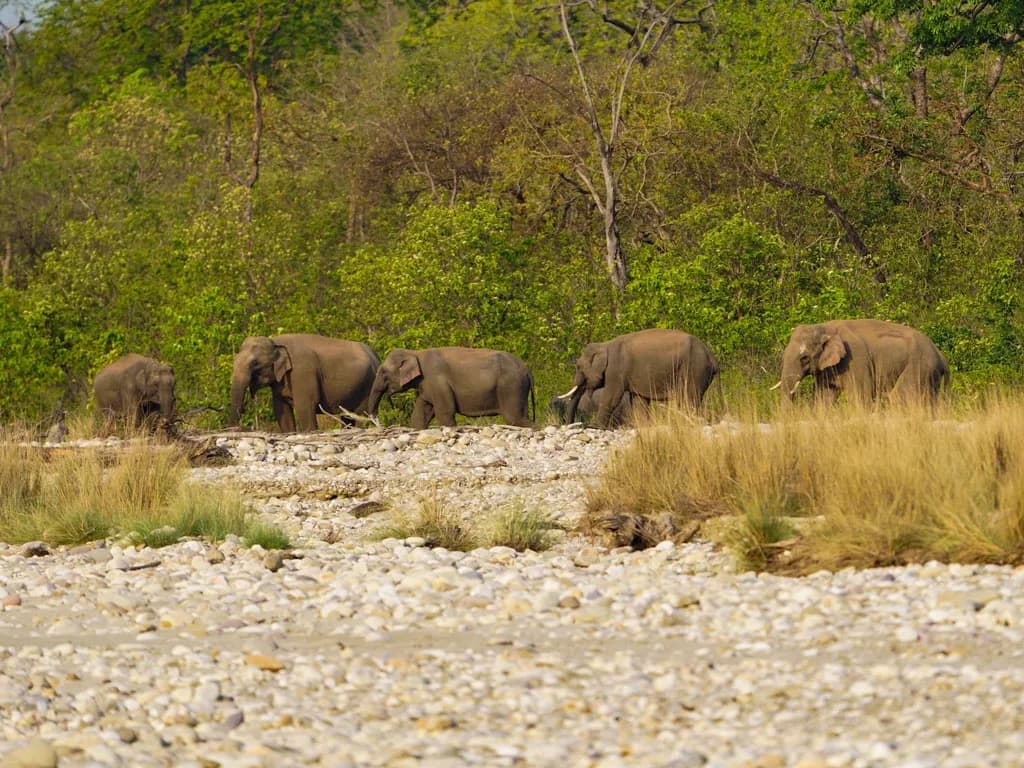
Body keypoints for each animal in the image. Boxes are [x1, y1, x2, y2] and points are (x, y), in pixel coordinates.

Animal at [229, 334, 380, 432]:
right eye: (234, 360)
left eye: (255, 363)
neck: (275, 342)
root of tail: (376, 356)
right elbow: (280, 408)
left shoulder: (302, 372)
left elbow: (305, 405)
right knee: (347, 417)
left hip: (369, 386)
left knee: (362, 415)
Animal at [367, 347, 535, 429]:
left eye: (383, 372)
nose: (378, 423)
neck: (415, 353)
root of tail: (527, 369)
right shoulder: (426, 386)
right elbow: (421, 414)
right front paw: (417, 428)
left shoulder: (437, 381)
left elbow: (445, 411)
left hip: (511, 386)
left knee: (514, 418)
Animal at [556, 328, 719, 428]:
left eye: (578, 367)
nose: (570, 424)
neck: (605, 344)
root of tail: (712, 357)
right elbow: (638, 401)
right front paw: (642, 426)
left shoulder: (616, 369)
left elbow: (612, 397)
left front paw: (596, 427)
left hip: (694, 368)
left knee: (688, 399)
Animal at [776, 319, 950, 405]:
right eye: (782, 357)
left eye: (804, 358)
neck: (825, 327)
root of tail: (941, 356)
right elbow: (824, 397)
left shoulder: (855, 359)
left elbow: (861, 395)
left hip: (919, 365)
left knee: (900, 396)